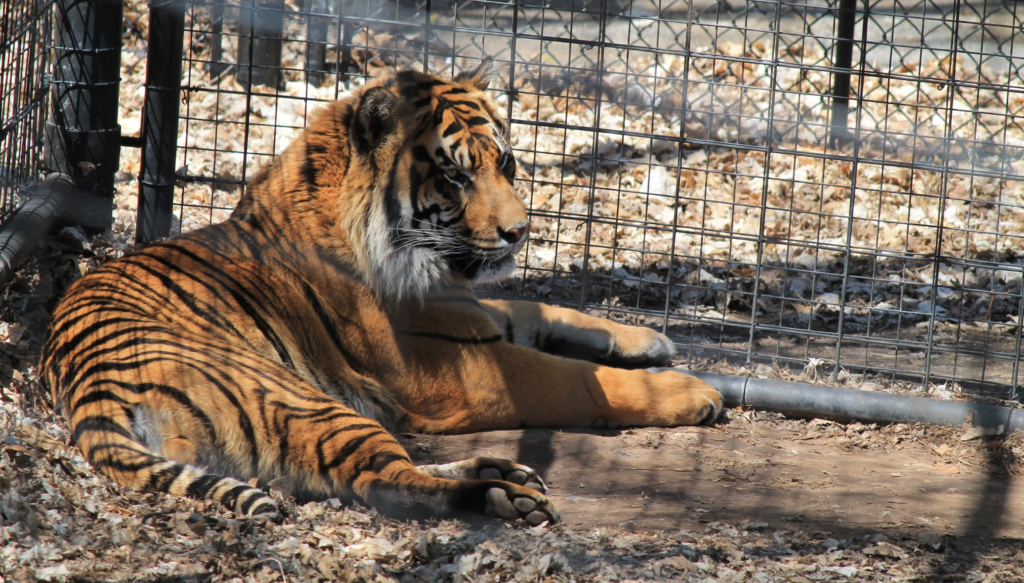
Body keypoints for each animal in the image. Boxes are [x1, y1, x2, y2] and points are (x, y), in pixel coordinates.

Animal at [37, 63, 720, 522]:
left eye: (505, 164)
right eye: (455, 176)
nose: (519, 232)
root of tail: (90, 385)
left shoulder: (468, 311)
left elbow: (540, 307)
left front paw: (646, 338)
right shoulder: (455, 368)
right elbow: (573, 377)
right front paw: (691, 391)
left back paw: (498, 470)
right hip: (302, 397)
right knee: (383, 480)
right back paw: (500, 493)